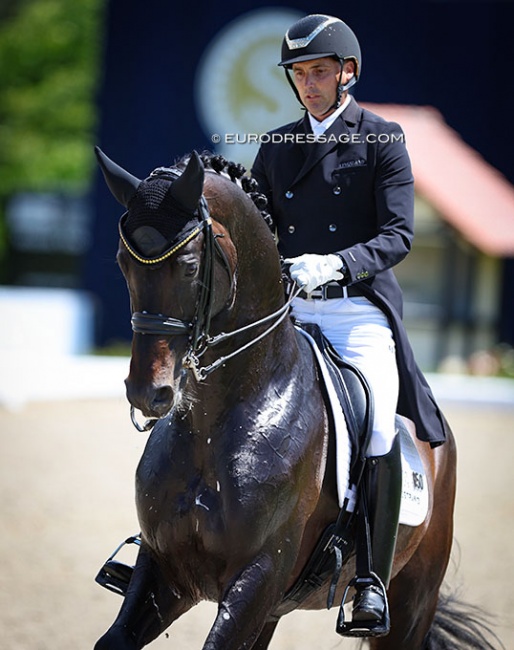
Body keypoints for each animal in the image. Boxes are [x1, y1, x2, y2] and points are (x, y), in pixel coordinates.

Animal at [94, 148, 494, 648]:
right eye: (121, 263)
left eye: (188, 266)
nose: (149, 392)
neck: (214, 425)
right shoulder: (166, 569)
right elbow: (113, 639)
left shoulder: (258, 575)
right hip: (274, 610)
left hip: (411, 602)